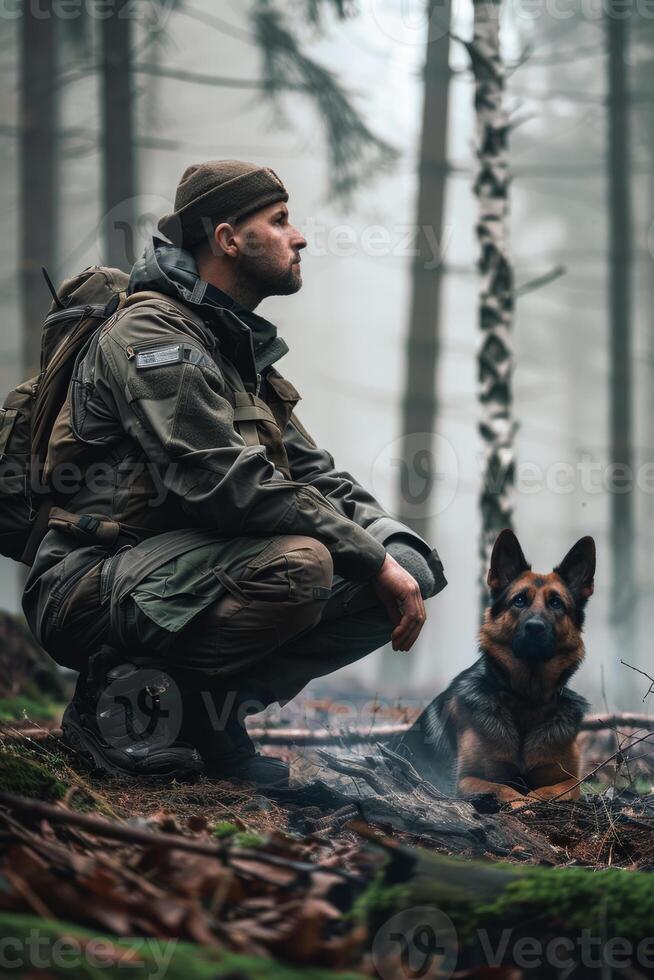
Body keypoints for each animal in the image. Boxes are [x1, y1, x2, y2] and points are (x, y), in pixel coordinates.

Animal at [394, 532, 600, 808]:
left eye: (556, 603)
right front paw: (523, 804)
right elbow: (508, 791)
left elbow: (546, 791)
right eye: (519, 600)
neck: (527, 700)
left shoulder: (569, 780)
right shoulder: (470, 778)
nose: (535, 627)